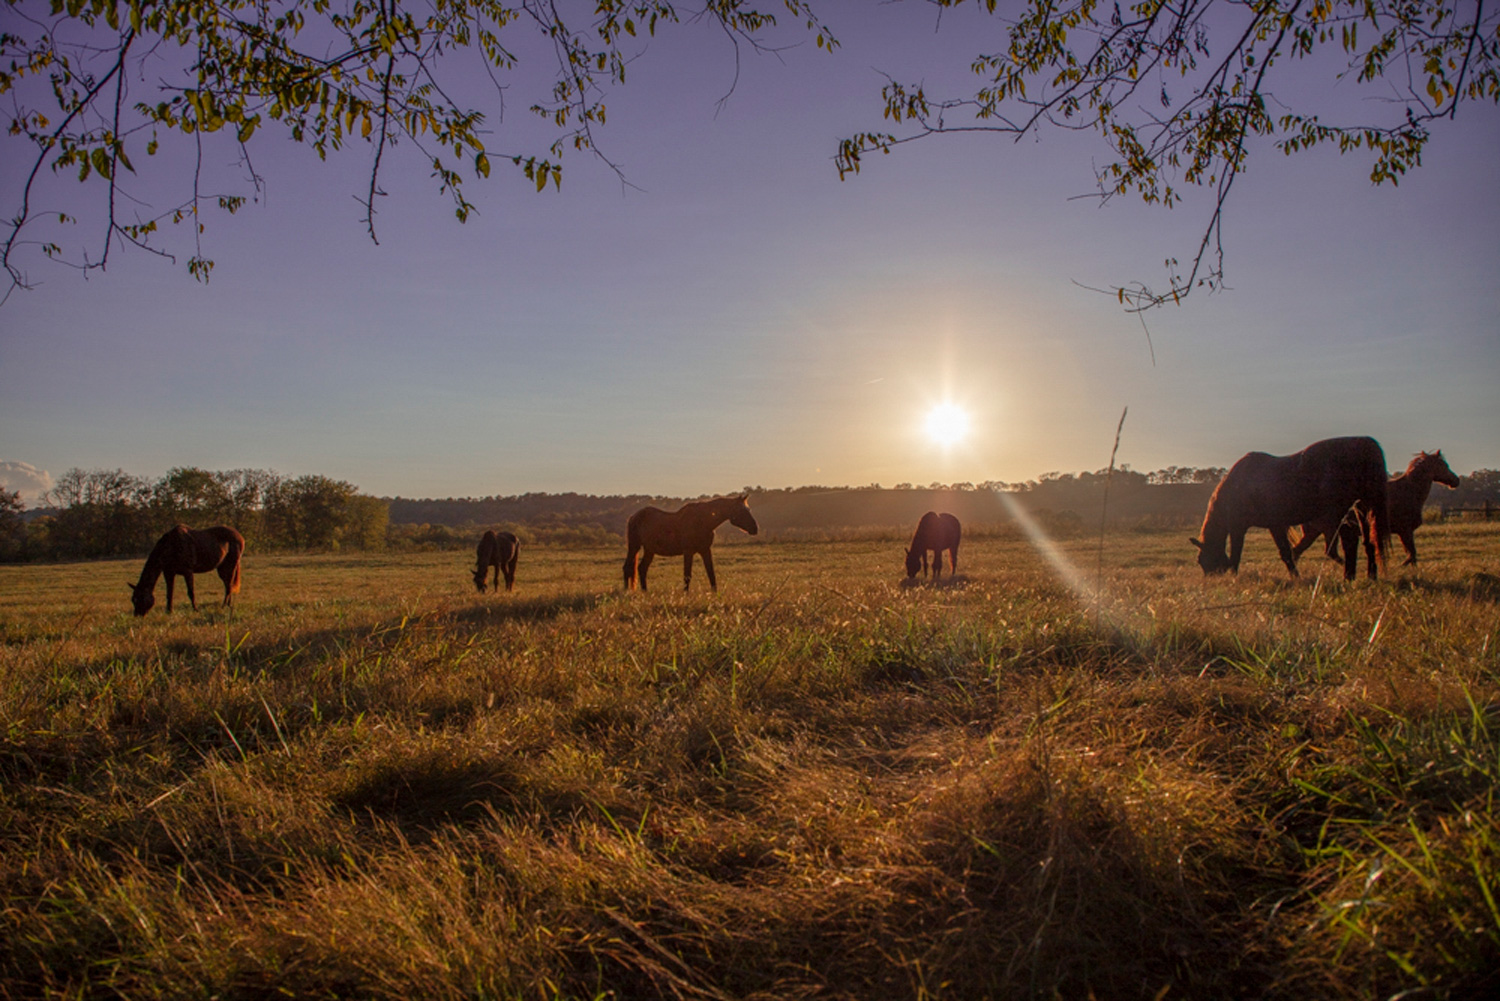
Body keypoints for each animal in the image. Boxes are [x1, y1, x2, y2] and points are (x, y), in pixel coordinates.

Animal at [624, 495, 762, 591]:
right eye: (742, 511)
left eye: (748, 509)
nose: (755, 528)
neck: (702, 521)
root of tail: (633, 516)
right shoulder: (688, 552)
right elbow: (687, 575)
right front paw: (686, 594)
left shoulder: (705, 550)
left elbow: (711, 573)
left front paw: (715, 594)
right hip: (634, 546)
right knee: (627, 567)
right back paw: (626, 592)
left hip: (649, 550)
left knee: (642, 568)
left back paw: (645, 591)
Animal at [1188, 435, 1386, 582]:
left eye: (1200, 560)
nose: (1212, 579)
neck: (1237, 486)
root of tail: (1364, 443)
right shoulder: (1275, 525)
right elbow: (1287, 552)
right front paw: (1295, 576)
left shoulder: (1243, 528)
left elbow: (1241, 553)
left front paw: (1234, 576)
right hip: (1362, 508)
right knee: (1369, 541)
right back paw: (1371, 576)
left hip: (1342, 513)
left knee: (1350, 541)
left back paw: (1349, 576)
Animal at [1296, 450, 1458, 567]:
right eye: (1444, 465)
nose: (1456, 480)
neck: (1408, 491)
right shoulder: (1405, 530)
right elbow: (1411, 555)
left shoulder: (1404, 532)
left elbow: (1412, 555)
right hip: (1328, 531)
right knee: (1327, 552)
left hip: (1315, 532)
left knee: (1299, 551)